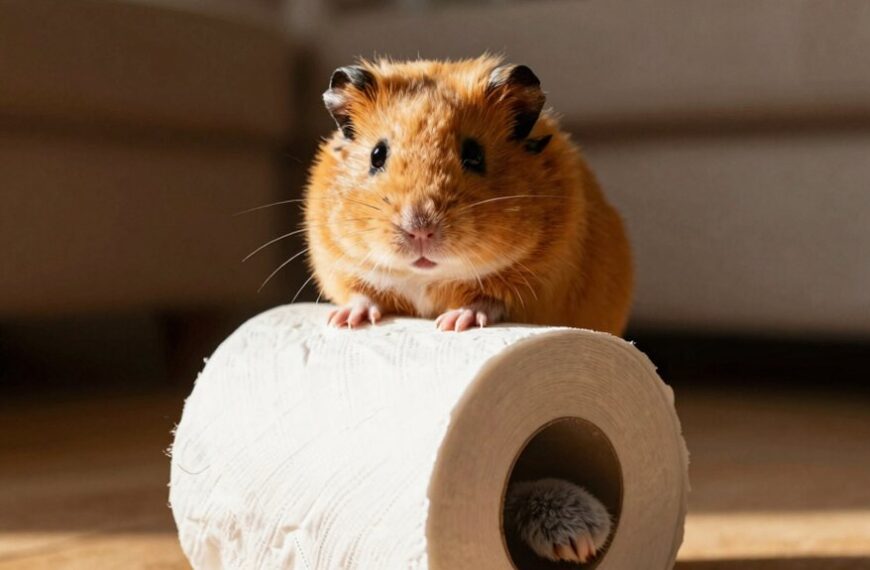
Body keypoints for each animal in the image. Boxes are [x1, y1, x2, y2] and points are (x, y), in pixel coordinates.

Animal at [303, 56, 631, 564]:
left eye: (474, 155)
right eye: (377, 155)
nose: (419, 228)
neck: (426, 277)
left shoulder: (537, 279)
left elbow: (489, 299)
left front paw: (455, 322)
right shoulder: (333, 259)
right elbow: (360, 292)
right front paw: (349, 320)